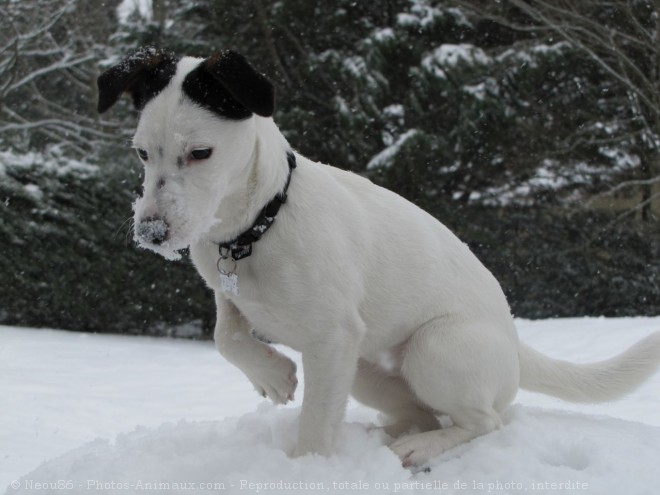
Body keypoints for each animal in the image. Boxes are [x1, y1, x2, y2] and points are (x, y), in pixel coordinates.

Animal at [96, 48, 660, 466]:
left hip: (433, 349)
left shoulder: (332, 339)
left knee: (483, 422)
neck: (256, 226)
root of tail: (515, 342)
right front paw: (273, 375)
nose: (150, 233)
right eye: (141, 152)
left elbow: (315, 424)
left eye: (201, 153)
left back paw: (421, 448)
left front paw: (305, 470)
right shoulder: (233, 297)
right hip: (367, 370)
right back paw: (394, 434)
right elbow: (225, 336)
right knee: (427, 412)